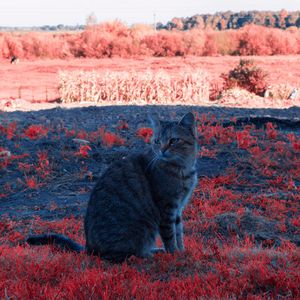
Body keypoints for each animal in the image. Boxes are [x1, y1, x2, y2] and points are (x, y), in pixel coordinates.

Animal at [26, 112, 199, 262]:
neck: (183, 168)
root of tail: (89, 248)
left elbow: (179, 232)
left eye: (173, 140)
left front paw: (182, 251)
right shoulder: (166, 208)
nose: (162, 150)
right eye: (157, 141)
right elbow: (170, 236)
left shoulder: (178, 208)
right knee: (121, 255)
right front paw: (175, 254)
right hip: (139, 231)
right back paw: (148, 255)